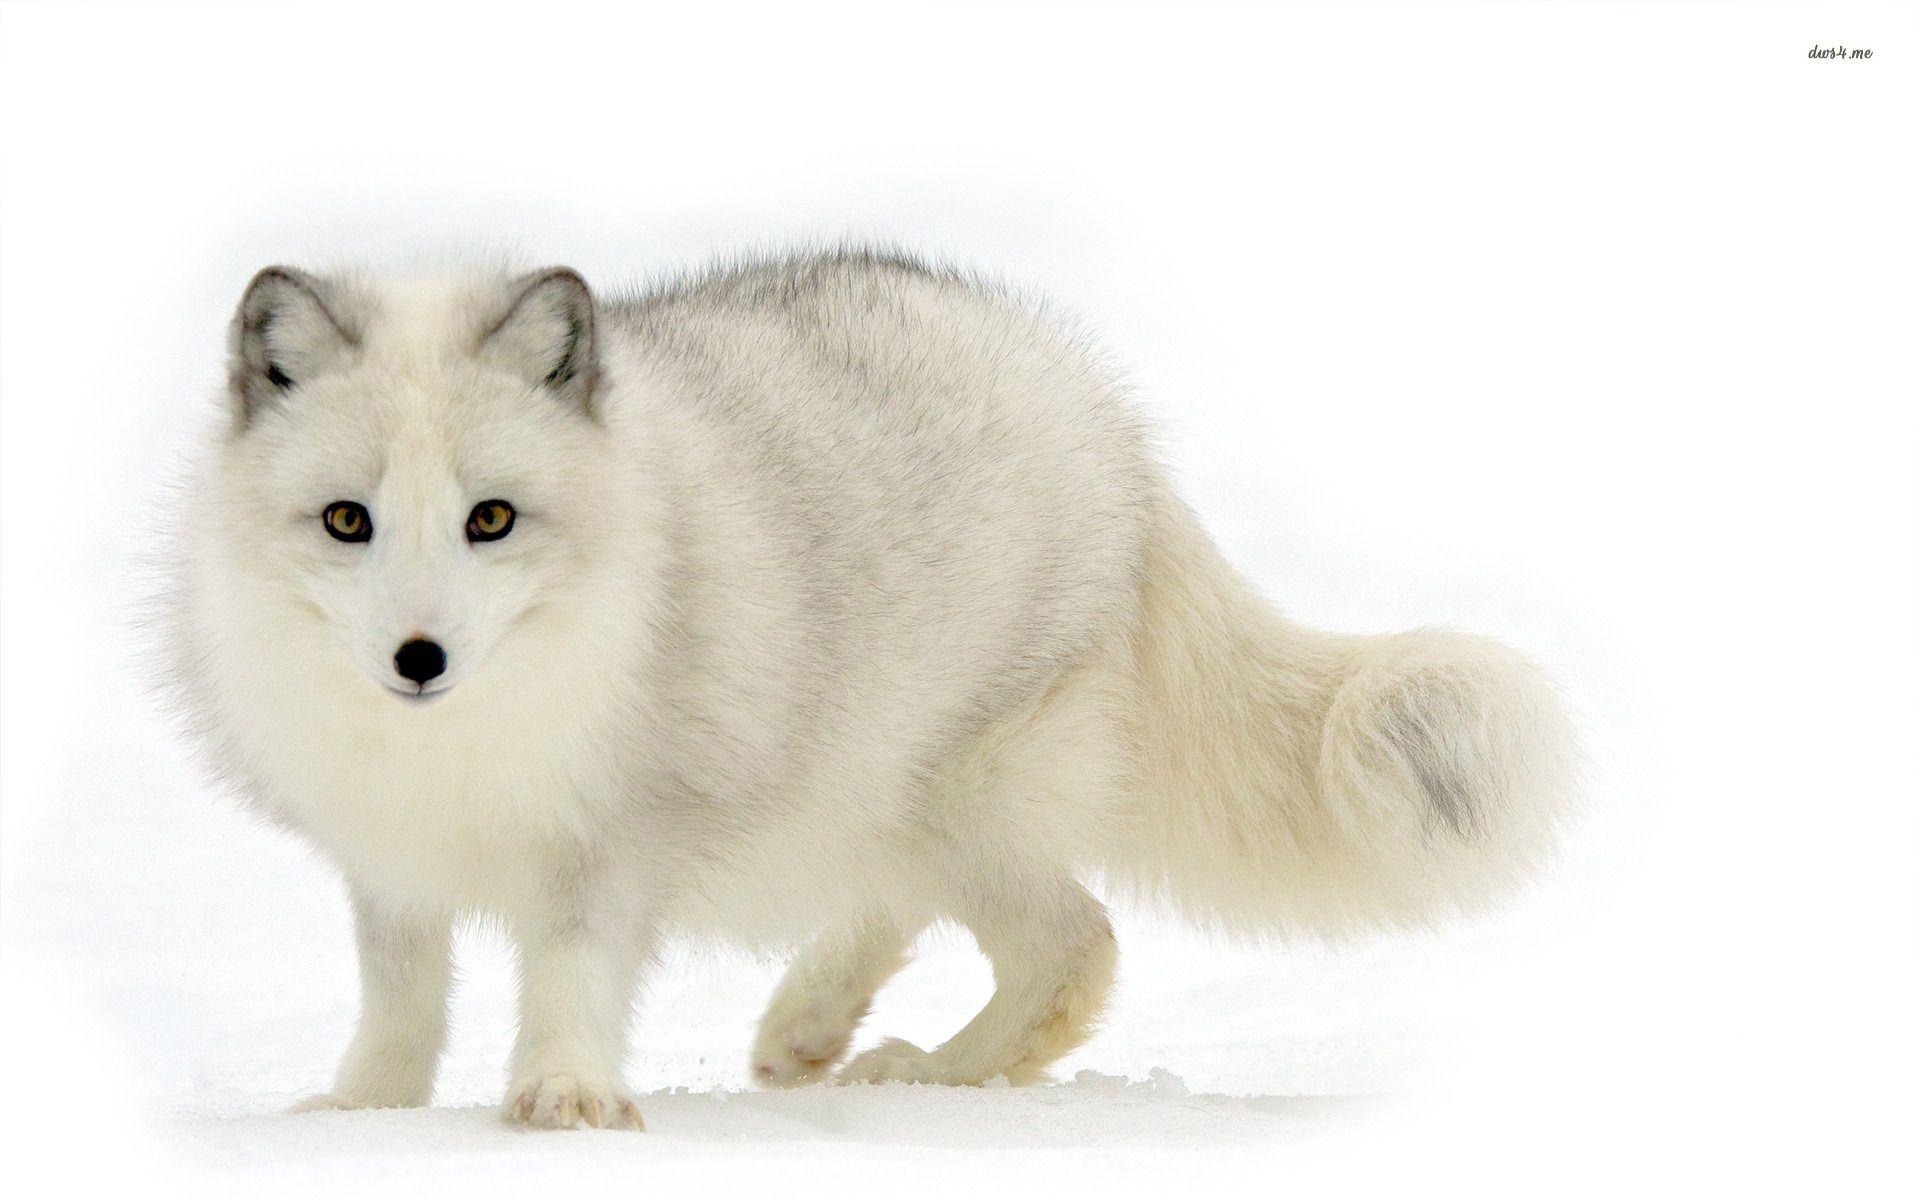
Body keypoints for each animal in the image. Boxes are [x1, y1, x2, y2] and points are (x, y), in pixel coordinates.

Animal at [158, 248, 1575, 1130]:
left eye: (490, 518)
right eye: (347, 520)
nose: (420, 659)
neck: (466, 736)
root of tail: (1106, 414)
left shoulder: (615, 837)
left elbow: (568, 974)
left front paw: (561, 1100)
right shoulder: (388, 856)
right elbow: (399, 998)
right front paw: (361, 1115)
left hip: (957, 792)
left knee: (1078, 949)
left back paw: (925, 1080)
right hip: (876, 787)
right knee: (911, 909)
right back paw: (810, 1028)